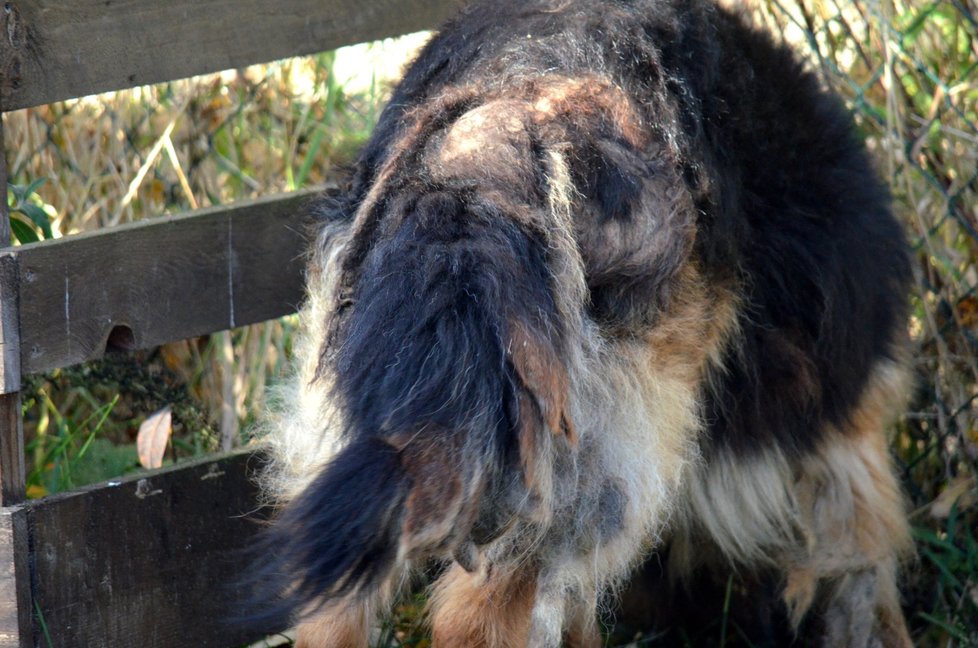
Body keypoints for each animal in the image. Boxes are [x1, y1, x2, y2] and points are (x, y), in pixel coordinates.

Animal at [250, 2, 908, 644]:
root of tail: (499, 111)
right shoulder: (846, 442)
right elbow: (864, 570)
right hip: (587, 475)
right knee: (477, 622)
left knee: (331, 614)